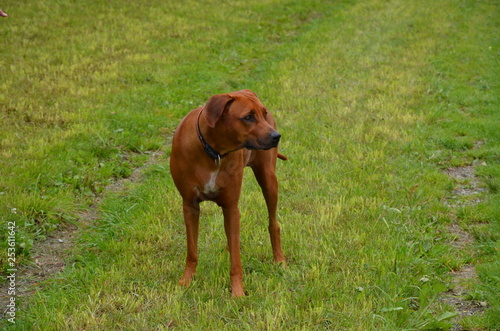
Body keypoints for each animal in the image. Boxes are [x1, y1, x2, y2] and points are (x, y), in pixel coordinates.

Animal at [170, 89, 286, 296]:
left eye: (263, 114)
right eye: (248, 117)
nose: (276, 136)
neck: (213, 151)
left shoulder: (231, 207)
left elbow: (236, 261)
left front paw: (237, 292)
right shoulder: (189, 205)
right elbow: (192, 250)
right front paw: (186, 281)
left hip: (269, 180)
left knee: (273, 223)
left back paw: (279, 259)